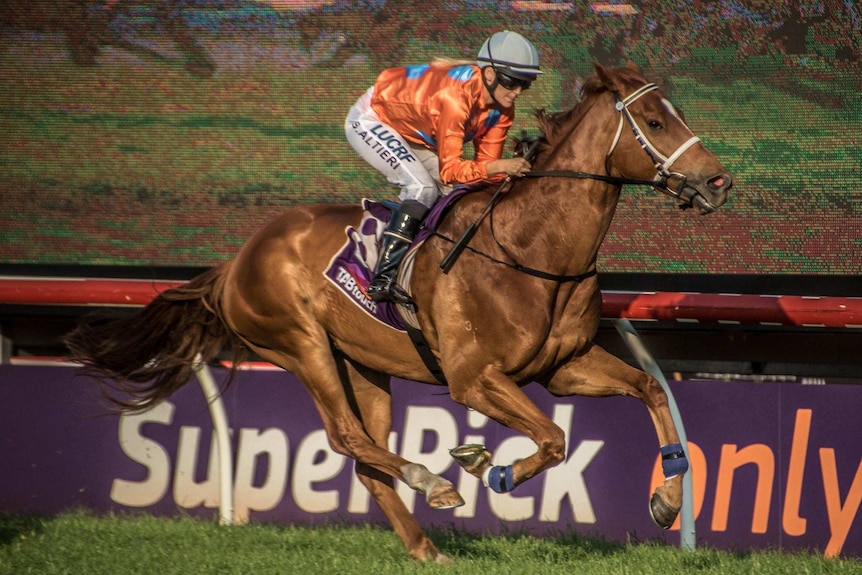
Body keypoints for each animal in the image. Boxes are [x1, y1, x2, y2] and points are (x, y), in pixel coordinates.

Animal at [64, 63, 732, 564]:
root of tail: (237, 260)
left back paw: (425, 546)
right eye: (653, 121)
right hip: (301, 345)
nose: (718, 181)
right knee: (346, 435)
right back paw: (433, 482)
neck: (531, 250)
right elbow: (553, 437)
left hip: (364, 365)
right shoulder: (473, 379)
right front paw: (492, 471)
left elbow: (650, 389)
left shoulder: (562, 368)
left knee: (366, 461)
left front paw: (668, 501)